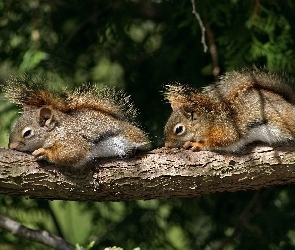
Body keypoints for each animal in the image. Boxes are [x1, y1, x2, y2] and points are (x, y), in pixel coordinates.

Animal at [2, 74, 150, 168]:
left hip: (132, 136)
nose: (11, 147)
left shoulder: (71, 138)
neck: (55, 130)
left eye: (27, 133)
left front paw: (44, 153)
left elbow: (75, 151)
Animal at [164, 67, 295, 151]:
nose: (167, 145)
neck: (207, 122)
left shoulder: (226, 130)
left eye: (179, 129)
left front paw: (196, 144)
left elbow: (220, 142)